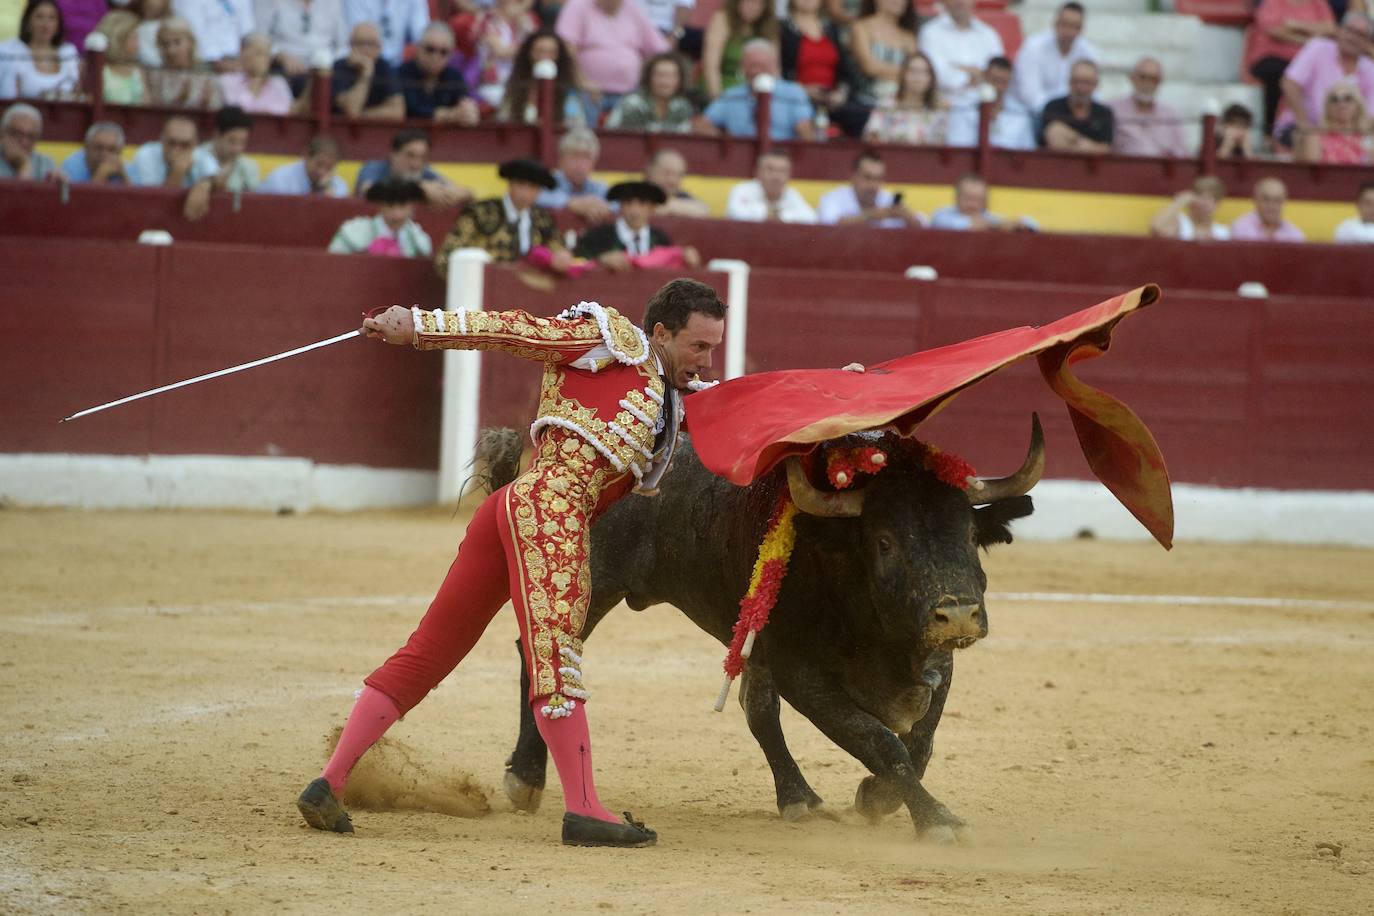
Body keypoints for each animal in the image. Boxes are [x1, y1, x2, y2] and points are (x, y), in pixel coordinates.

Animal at [494, 420, 1038, 840]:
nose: (959, 613)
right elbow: (880, 740)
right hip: (588, 583)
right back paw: (525, 778)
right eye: (884, 541)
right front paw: (937, 820)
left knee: (757, 710)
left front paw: (874, 798)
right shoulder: (803, 674)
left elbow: (918, 742)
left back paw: (799, 797)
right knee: (540, 659)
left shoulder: (935, 661)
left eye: (970, 533)